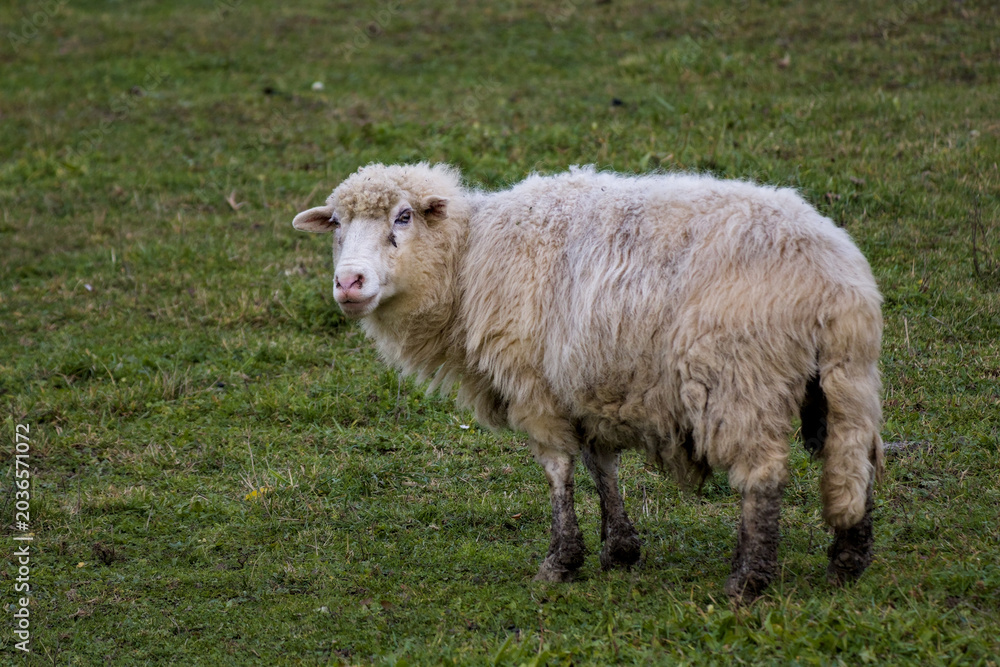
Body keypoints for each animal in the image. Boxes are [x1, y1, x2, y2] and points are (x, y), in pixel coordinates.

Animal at [292, 163, 884, 601]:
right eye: (337, 224)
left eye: (404, 216)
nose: (349, 282)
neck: (467, 258)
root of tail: (832, 279)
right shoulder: (590, 383)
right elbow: (603, 464)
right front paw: (620, 549)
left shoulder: (535, 384)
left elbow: (559, 470)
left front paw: (561, 561)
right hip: (848, 376)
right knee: (854, 457)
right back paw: (848, 560)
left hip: (742, 379)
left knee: (763, 474)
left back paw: (748, 579)